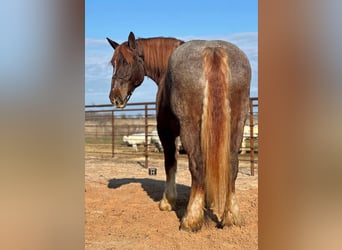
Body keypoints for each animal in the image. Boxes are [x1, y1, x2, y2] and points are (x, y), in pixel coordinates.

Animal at [107, 32, 251, 231]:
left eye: (126, 62)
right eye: (113, 63)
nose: (115, 97)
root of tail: (213, 51)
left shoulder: (166, 133)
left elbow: (170, 163)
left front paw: (167, 201)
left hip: (189, 128)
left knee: (196, 165)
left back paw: (191, 219)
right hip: (236, 124)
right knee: (232, 164)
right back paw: (231, 217)